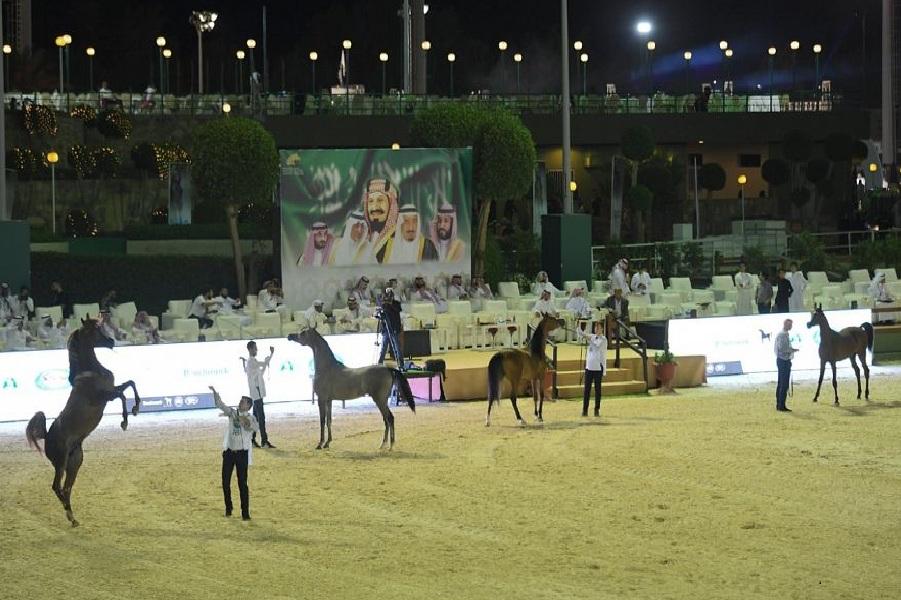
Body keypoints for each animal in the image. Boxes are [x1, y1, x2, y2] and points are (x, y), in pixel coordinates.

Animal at [23, 318, 141, 524]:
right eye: (95, 330)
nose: (111, 341)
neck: (90, 372)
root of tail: (46, 436)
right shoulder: (105, 396)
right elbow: (122, 395)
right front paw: (125, 422)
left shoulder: (111, 390)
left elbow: (130, 384)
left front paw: (136, 409)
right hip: (60, 462)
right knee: (57, 487)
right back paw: (67, 511)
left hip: (75, 462)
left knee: (67, 488)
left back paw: (72, 517)